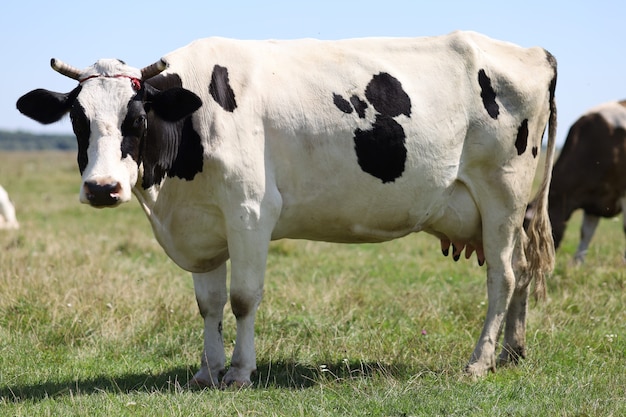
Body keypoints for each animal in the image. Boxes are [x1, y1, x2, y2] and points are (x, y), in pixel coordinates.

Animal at [17, 31, 556, 386]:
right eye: (78, 120)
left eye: (136, 118)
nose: (102, 188)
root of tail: (532, 51)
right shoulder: (202, 224)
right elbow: (208, 303)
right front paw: (206, 371)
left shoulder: (250, 211)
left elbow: (242, 299)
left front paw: (239, 372)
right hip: (510, 212)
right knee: (523, 271)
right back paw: (513, 351)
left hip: (503, 195)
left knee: (503, 277)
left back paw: (480, 361)